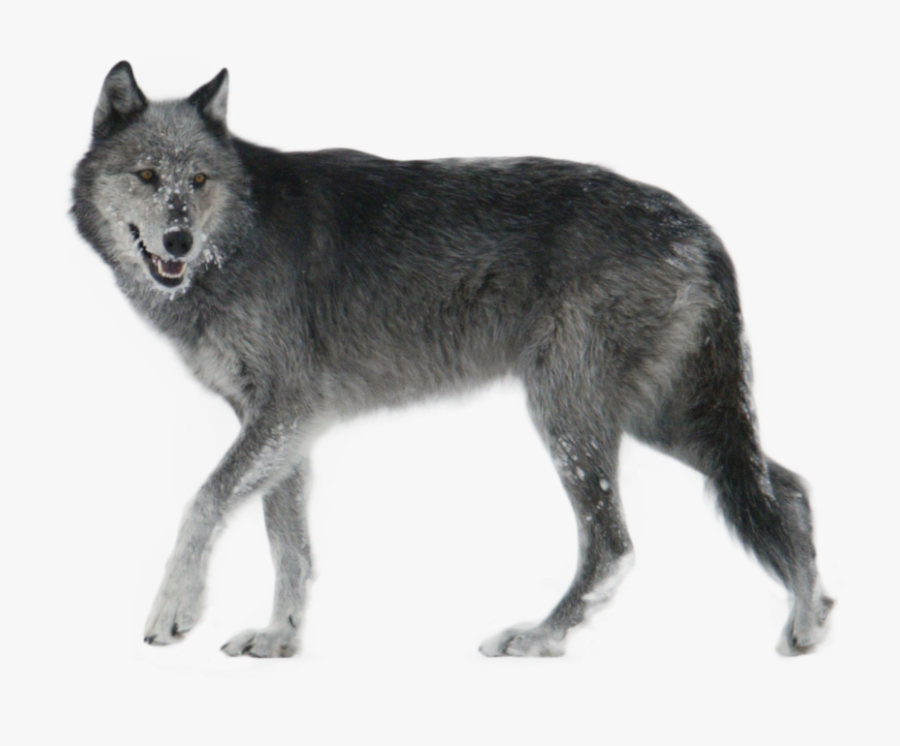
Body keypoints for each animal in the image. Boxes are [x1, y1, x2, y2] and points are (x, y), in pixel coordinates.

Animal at [73, 62, 832, 658]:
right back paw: (809, 624)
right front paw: (280, 639)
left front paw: (175, 611)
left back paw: (538, 638)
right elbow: (288, 543)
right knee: (788, 488)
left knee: (614, 545)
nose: (177, 240)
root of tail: (699, 227)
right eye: (148, 176)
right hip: (664, 420)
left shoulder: (287, 410)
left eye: (199, 180)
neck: (241, 237)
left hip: (573, 416)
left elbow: (203, 502)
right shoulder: (281, 425)